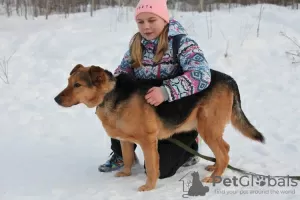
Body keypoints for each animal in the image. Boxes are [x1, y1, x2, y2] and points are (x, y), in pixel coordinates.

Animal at [54, 64, 264, 192]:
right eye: (68, 83)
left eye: (77, 85)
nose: (55, 99)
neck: (109, 94)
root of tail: (229, 79)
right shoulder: (125, 140)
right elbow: (128, 159)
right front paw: (126, 174)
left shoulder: (148, 141)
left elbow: (153, 167)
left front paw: (149, 187)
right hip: (208, 128)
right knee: (224, 150)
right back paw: (215, 167)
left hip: (208, 129)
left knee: (224, 152)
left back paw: (214, 177)